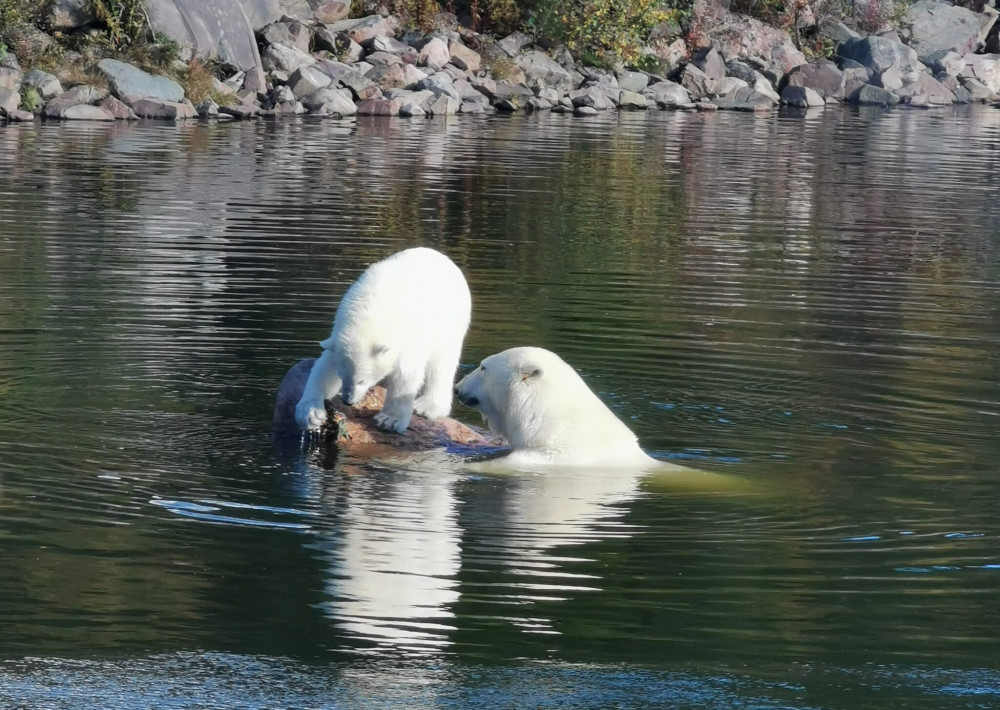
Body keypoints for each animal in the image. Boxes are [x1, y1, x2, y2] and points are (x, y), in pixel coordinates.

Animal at [294, 248, 470, 436]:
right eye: (342, 376)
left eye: (362, 380)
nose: (348, 401)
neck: (369, 312)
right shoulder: (339, 337)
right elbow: (324, 367)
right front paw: (310, 414)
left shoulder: (407, 338)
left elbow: (405, 375)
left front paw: (390, 420)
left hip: (449, 323)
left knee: (441, 365)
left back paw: (428, 406)